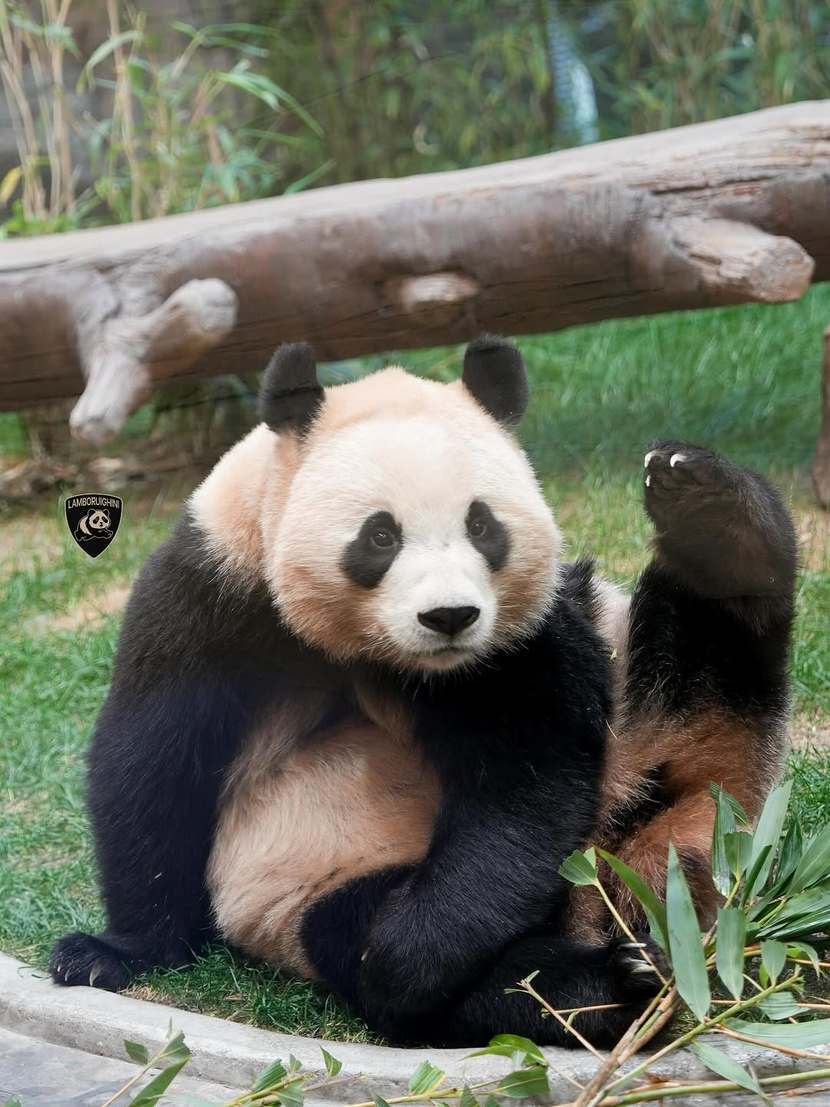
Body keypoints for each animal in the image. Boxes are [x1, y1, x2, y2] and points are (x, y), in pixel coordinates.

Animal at [49, 337, 796, 1048]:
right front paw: (114, 951)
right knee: (401, 947)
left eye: (483, 526)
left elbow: (523, 781)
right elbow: (154, 766)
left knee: (710, 655)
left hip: (644, 722)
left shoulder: (520, 639)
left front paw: (403, 955)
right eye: (380, 535)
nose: (450, 616)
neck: (383, 655)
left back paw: (712, 510)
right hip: (310, 873)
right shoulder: (216, 589)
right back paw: (611, 984)